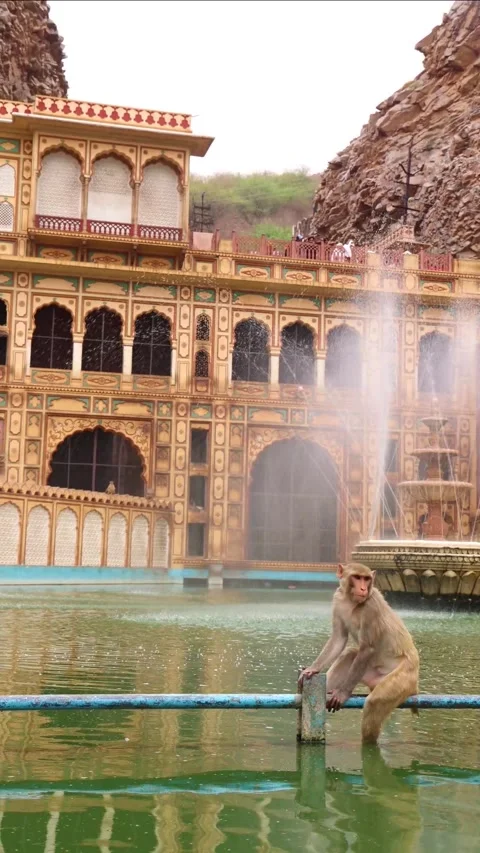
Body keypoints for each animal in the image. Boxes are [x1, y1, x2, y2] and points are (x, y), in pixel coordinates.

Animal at [298, 562, 419, 744]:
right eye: (357, 577)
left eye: (367, 579)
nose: (363, 588)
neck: (351, 602)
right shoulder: (337, 600)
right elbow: (339, 639)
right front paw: (312, 669)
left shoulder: (371, 606)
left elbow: (367, 648)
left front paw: (342, 694)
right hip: (371, 674)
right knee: (350, 654)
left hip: (403, 679)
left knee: (375, 703)